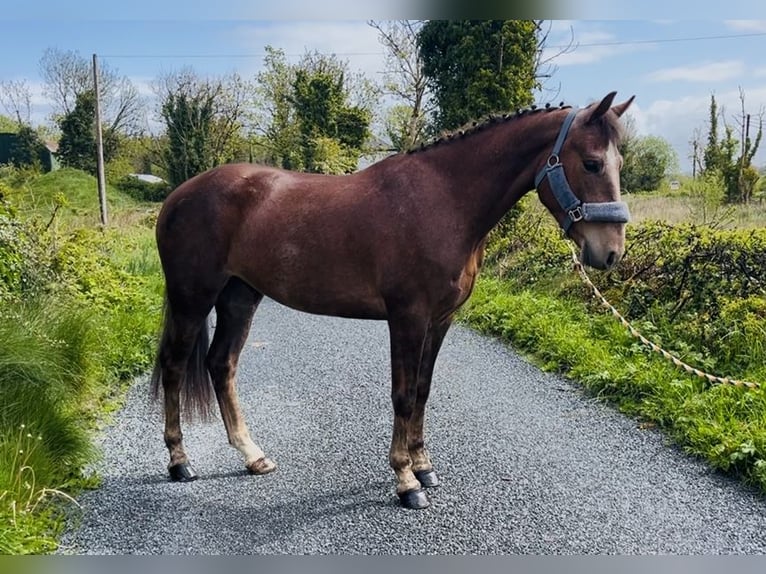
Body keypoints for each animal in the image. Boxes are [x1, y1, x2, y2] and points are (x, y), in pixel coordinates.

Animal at [151, 91, 635, 509]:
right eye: (591, 163)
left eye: (620, 162)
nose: (610, 252)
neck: (445, 201)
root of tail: (178, 195)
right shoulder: (408, 318)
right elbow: (402, 395)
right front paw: (405, 482)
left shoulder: (440, 320)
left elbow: (422, 390)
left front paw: (424, 467)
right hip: (193, 297)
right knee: (175, 366)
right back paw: (180, 462)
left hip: (240, 296)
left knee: (221, 365)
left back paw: (252, 455)